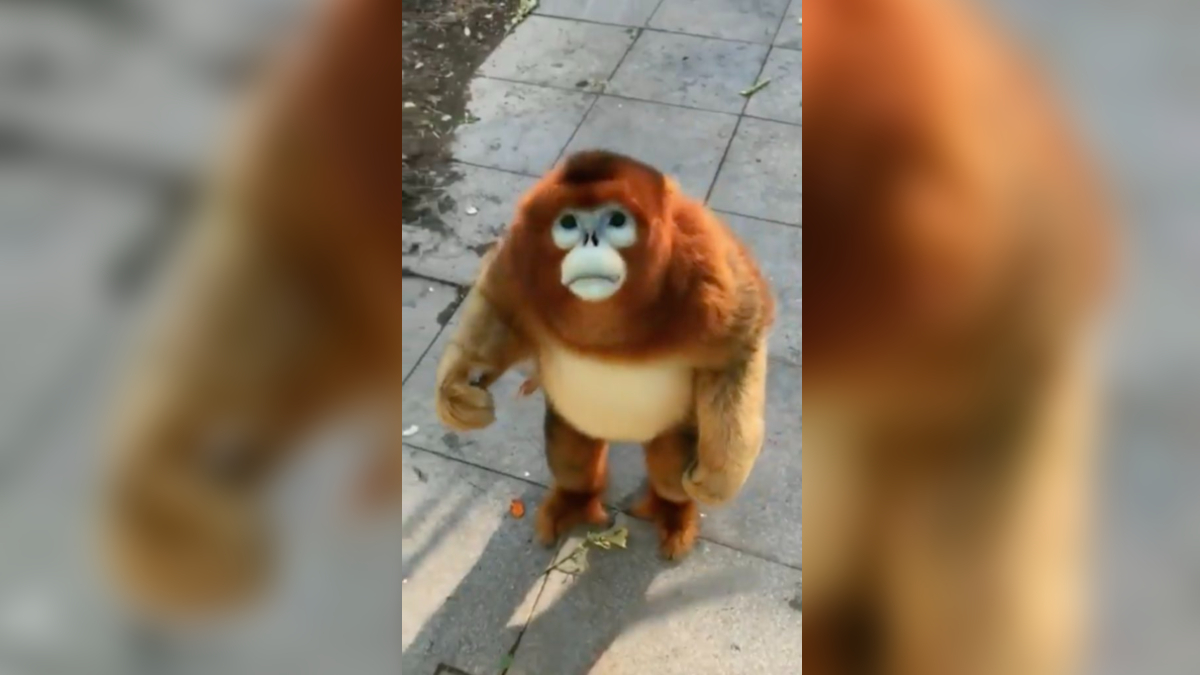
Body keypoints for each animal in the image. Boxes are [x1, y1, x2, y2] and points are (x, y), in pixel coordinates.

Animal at [434, 149, 776, 559]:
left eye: (616, 220)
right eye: (567, 223)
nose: (591, 241)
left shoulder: (709, 263)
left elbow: (739, 349)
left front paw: (719, 477)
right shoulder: (518, 254)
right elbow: (498, 307)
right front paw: (455, 392)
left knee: (669, 469)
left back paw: (673, 510)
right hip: (572, 422)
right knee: (570, 453)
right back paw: (574, 500)